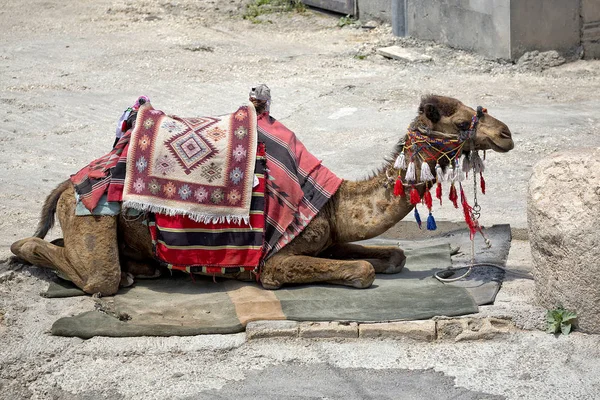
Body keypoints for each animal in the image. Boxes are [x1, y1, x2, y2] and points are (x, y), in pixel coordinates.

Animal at [9, 94, 512, 294]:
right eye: (458, 120)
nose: (505, 133)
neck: (334, 201)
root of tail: (69, 182)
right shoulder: (275, 260)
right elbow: (364, 269)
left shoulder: (326, 237)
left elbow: (393, 256)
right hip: (90, 214)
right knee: (96, 276)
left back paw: (146, 269)